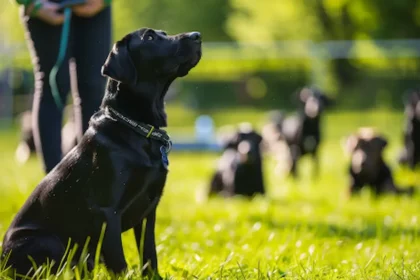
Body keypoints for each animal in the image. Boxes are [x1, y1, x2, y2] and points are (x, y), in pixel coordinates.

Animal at [1, 28, 202, 278]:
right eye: (149, 38)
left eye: (163, 33)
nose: (197, 35)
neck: (136, 128)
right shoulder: (108, 211)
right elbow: (120, 262)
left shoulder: (149, 210)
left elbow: (149, 255)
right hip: (49, 242)